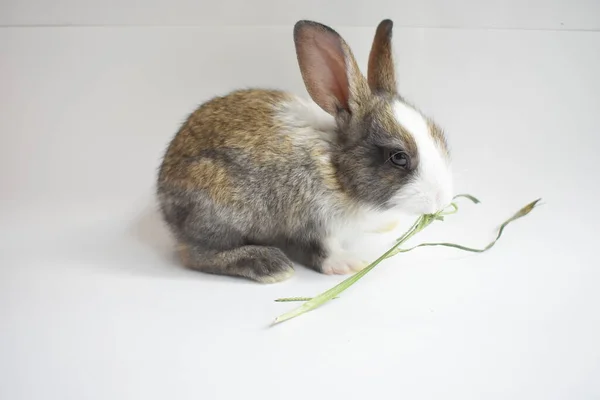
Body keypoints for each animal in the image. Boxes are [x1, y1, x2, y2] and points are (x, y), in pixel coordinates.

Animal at [157, 18, 452, 282]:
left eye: (439, 134)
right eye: (398, 158)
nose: (441, 200)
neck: (337, 169)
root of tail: (163, 194)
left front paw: (386, 225)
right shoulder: (311, 219)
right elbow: (321, 248)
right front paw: (347, 264)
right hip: (217, 207)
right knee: (194, 254)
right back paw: (269, 265)